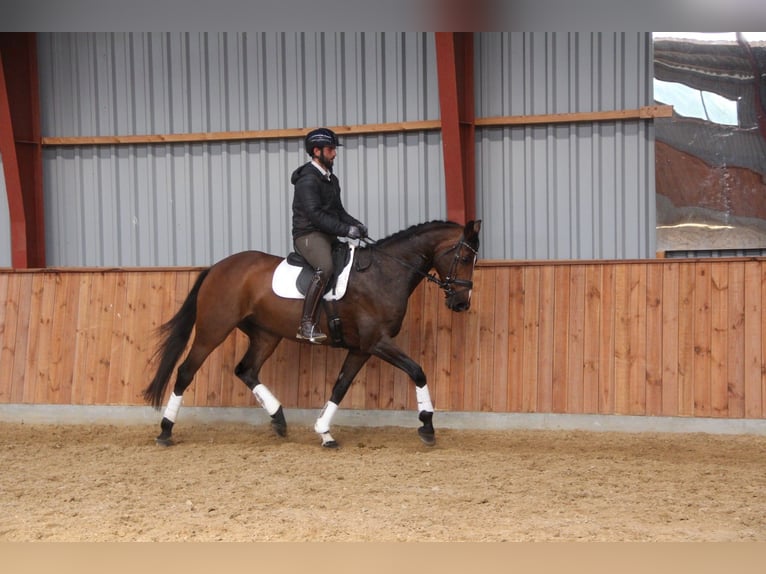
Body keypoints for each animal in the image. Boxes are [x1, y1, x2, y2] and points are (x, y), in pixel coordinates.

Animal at [141, 220, 484, 450]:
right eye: (465, 258)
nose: (461, 303)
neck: (384, 273)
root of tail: (217, 267)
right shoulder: (377, 342)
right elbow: (418, 371)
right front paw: (427, 425)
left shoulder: (362, 348)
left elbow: (340, 386)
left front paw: (324, 431)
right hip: (213, 329)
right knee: (186, 372)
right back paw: (165, 431)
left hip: (266, 334)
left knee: (246, 370)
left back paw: (279, 419)